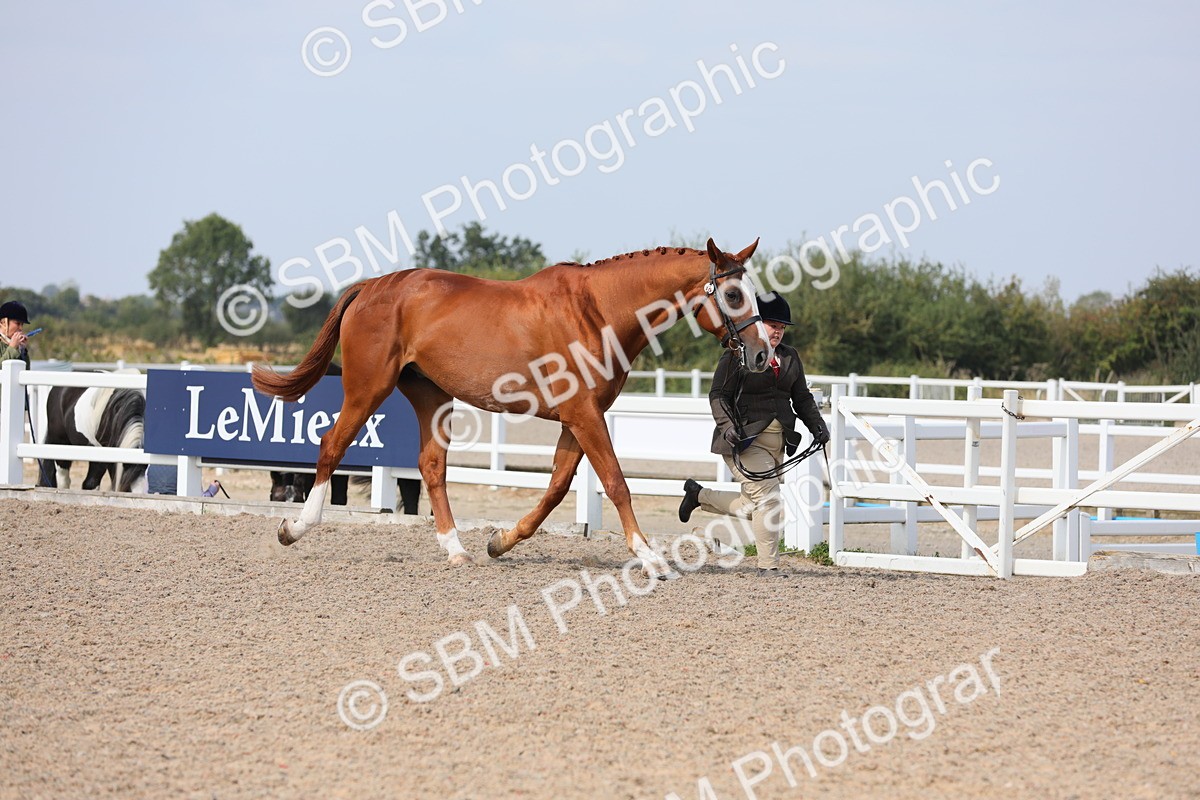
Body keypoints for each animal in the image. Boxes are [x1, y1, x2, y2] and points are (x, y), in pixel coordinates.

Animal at [251, 238, 771, 578]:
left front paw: (500, 542)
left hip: (431, 397)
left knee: (431, 466)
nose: (763, 354)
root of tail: (374, 285)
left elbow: (558, 488)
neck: (598, 310)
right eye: (732, 294)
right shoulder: (584, 415)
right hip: (366, 389)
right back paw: (294, 528)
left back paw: (456, 550)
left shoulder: (576, 418)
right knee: (332, 445)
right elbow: (615, 483)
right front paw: (650, 557)